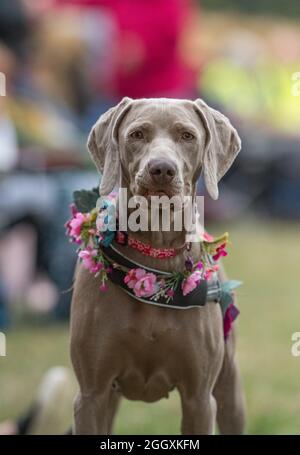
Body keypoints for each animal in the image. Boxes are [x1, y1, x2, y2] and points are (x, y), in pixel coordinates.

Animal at [70, 98, 246, 436]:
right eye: (137, 134)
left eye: (188, 135)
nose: (162, 169)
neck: (155, 254)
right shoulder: (91, 396)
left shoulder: (199, 399)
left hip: (230, 389)